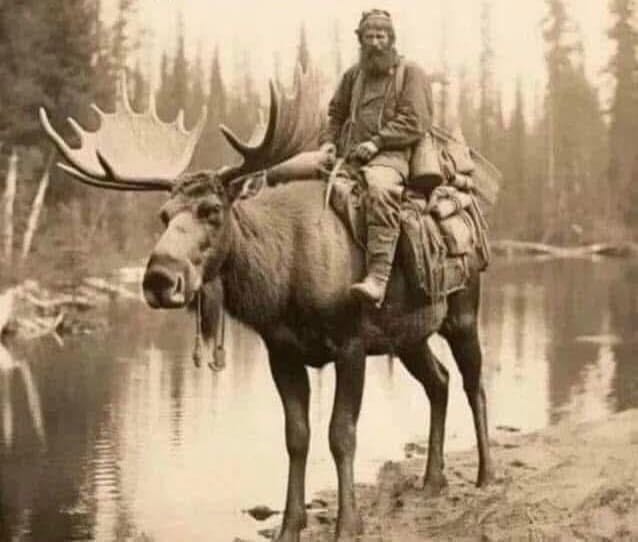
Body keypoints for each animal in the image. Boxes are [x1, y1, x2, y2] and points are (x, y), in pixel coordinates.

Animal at [41, 72, 496, 542]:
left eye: (212, 210)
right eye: (164, 215)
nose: (160, 280)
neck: (283, 281)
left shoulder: (350, 343)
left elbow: (341, 435)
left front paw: (347, 524)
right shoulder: (282, 351)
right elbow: (297, 436)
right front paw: (290, 525)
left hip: (462, 314)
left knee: (472, 382)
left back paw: (486, 474)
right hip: (407, 335)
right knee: (439, 381)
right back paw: (433, 478)